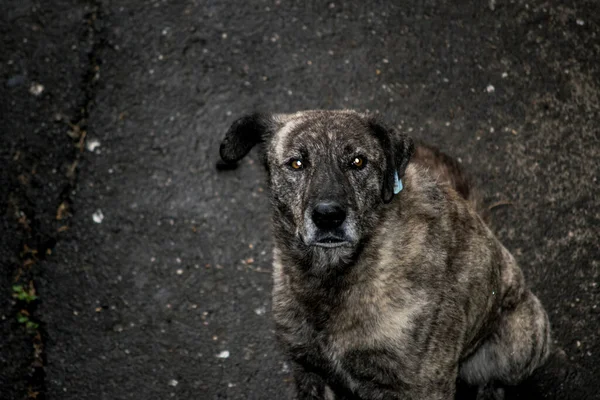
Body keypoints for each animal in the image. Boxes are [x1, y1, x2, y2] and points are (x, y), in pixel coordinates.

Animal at [218, 110, 552, 400]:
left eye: (358, 161)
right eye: (297, 163)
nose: (328, 216)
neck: (334, 277)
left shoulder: (423, 387)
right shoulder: (308, 371)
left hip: (519, 341)